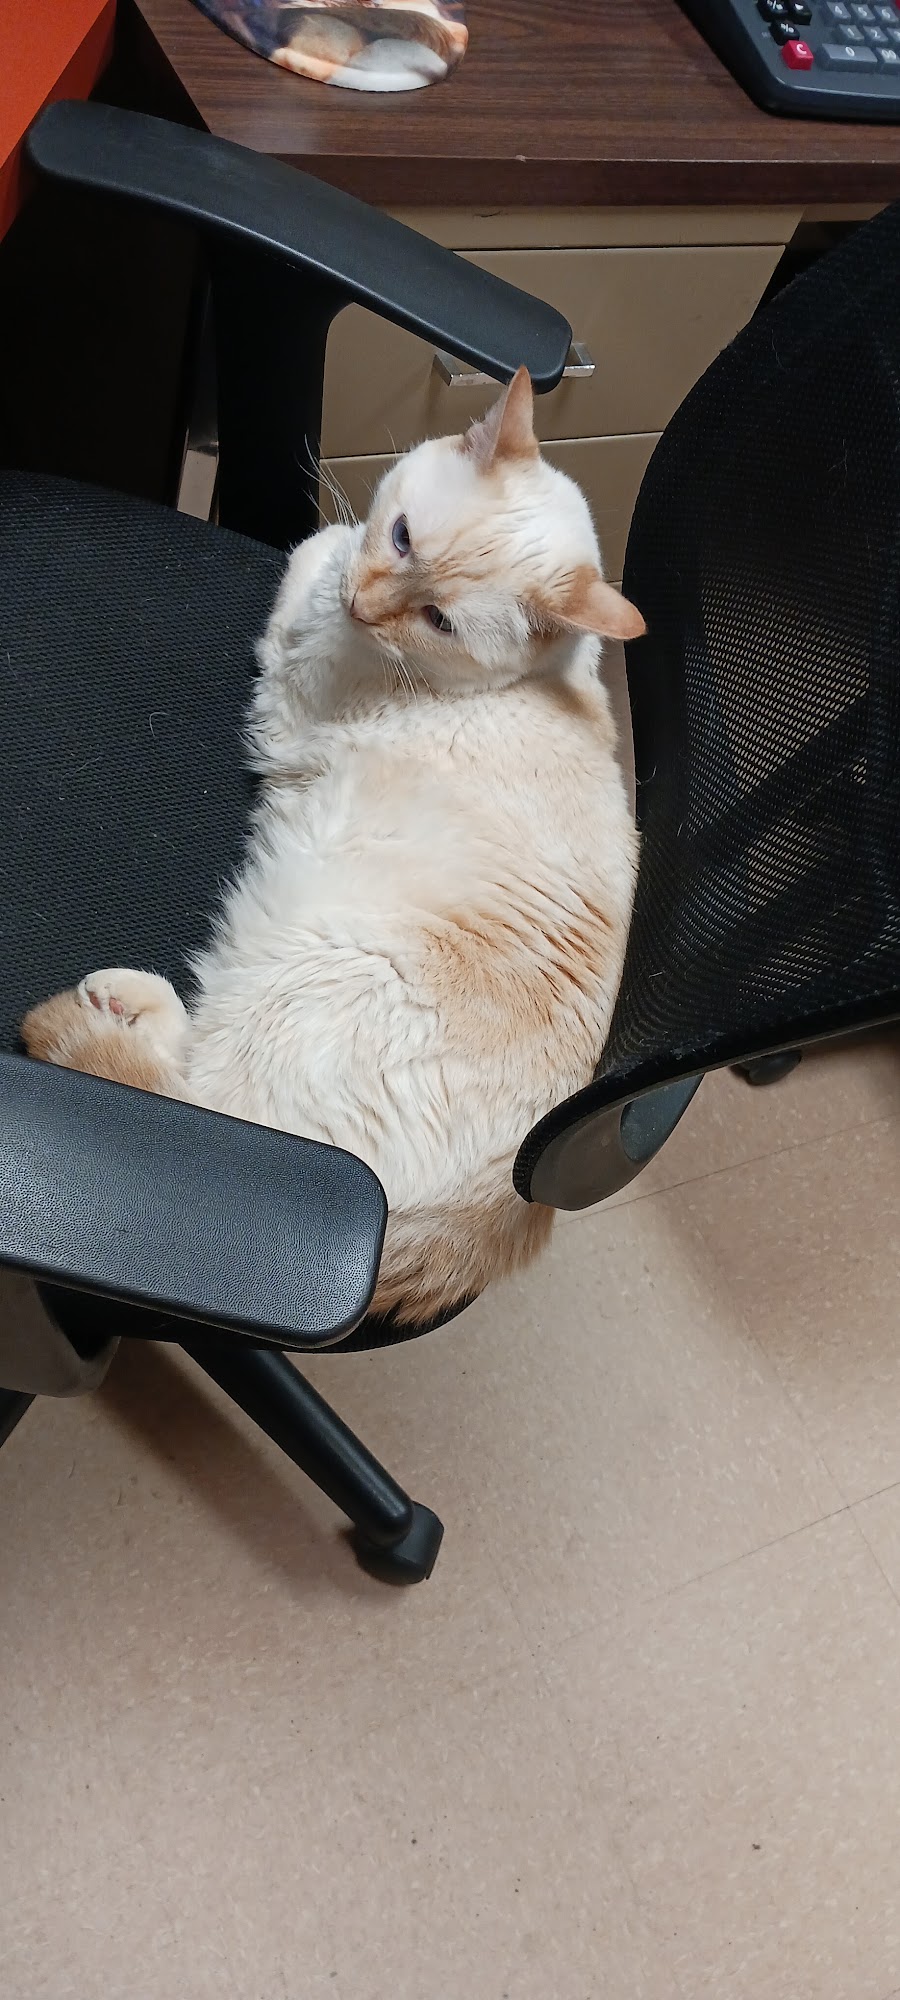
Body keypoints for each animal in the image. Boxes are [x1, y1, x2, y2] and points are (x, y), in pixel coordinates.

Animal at [22, 369, 643, 1326]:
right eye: (402, 535)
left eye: (438, 618)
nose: (365, 601)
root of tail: (491, 1222)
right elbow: (322, 542)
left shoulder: (295, 668)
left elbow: (308, 548)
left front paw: (320, 559)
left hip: (301, 979)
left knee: (201, 1100)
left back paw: (110, 1001)